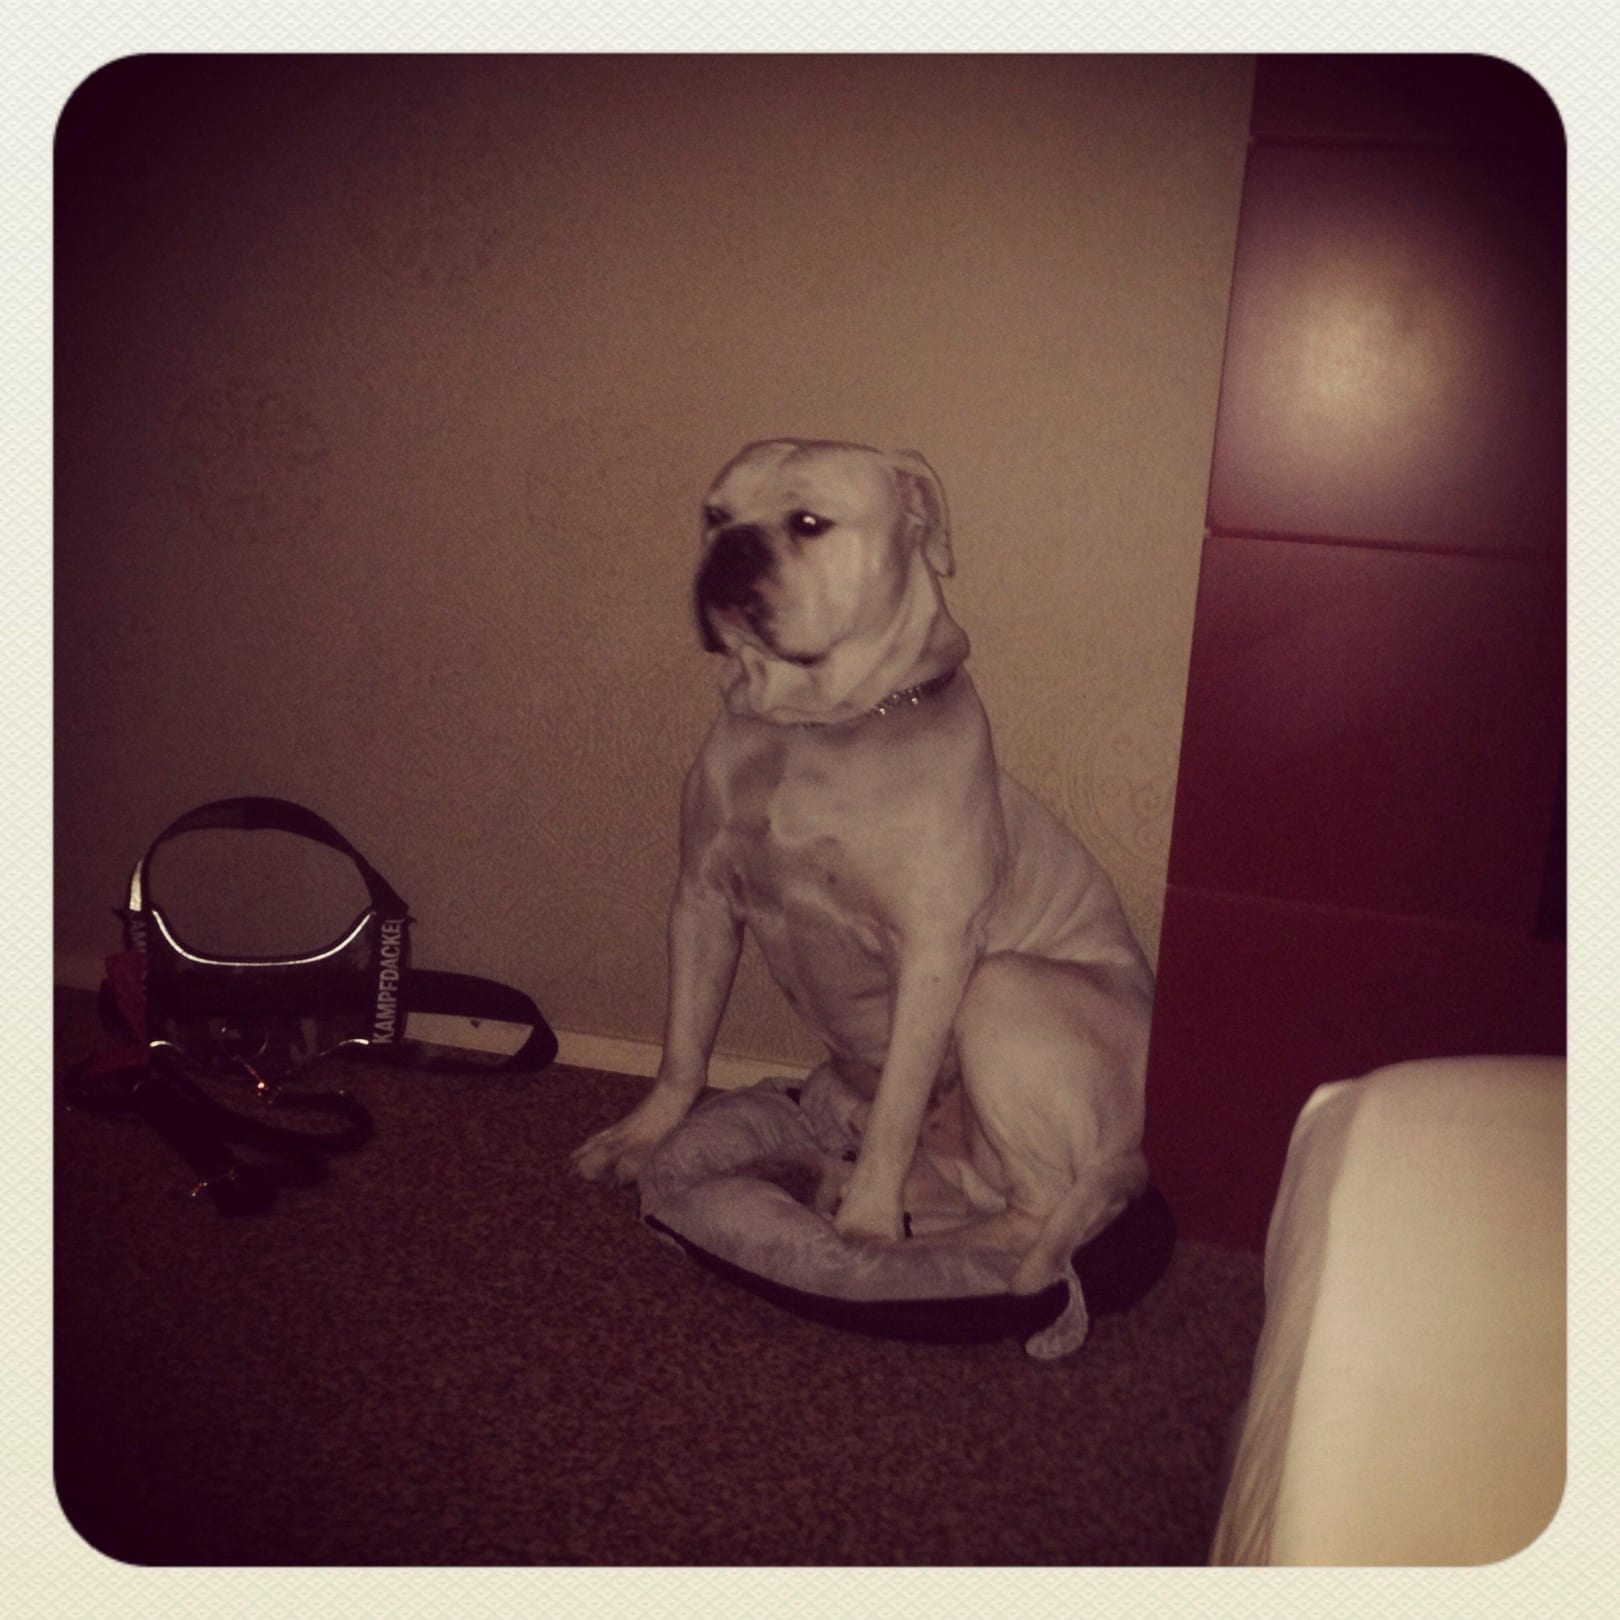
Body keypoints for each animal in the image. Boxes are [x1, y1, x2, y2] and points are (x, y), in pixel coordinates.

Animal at [571, 439, 1153, 1302]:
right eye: (714, 514)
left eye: (808, 523)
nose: (731, 548)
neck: (811, 729)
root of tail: (1141, 1145)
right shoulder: (701, 902)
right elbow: (683, 1047)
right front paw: (638, 1140)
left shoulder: (935, 958)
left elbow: (896, 1114)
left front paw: (867, 1230)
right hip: (866, 1088)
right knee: (965, 1190)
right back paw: (813, 1173)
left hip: (1003, 990)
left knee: (1033, 1212)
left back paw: (900, 1250)